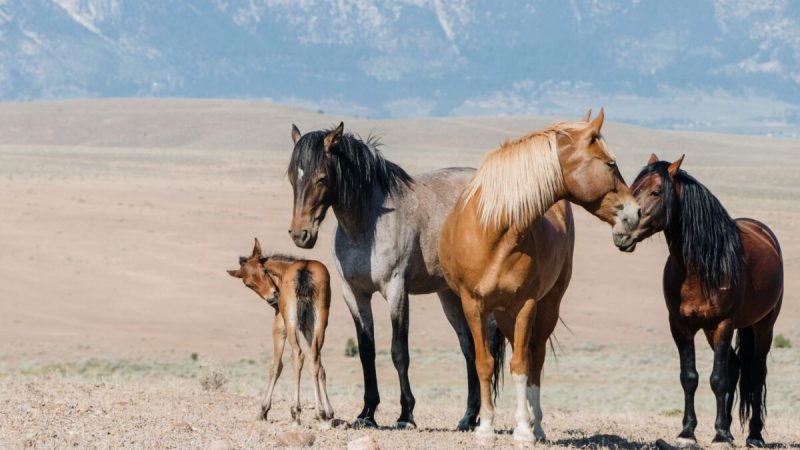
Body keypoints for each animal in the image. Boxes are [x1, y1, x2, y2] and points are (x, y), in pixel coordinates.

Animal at [227, 238, 334, 426]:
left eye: (264, 271)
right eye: (248, 284)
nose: (273, 298)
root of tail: (304, 269)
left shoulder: (279, 327)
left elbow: (276, 366)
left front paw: (263, 410)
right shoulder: (307, 328)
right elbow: (319, 366)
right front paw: (328, 412)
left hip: (290, 323)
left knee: (297, 356)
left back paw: (296, 412)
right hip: (320, 320)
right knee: (312, 358)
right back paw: (320, 413)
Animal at [286, 122, 505, 430]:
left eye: (321, 178)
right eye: (292, 177)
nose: (300, 234)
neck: (365, 226)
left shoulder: (396, 291)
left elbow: (398, 352)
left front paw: (406, 414)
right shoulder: (354, 294)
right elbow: (367, 351)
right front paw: (367, 413)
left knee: (487, 346)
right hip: (449, 295)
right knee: (469, 348)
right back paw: (467, 418)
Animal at [439, 109, 641, 442]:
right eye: (610, 164)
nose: (635, 213)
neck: (495, 231)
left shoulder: (526, 305)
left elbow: (522, 364)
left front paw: (523, 428)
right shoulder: (473, 305)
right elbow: (484, 363)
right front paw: (486, 427)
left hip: (546, 308)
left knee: (536, 357)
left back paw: (538, 425)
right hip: (503, 314)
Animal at [629, 154, 783, 448]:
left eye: (656, 192)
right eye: (632, 190)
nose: (623, 232)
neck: (698, 268)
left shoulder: (723, 324)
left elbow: (718, 378)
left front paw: (719, 436)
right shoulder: (680, 325)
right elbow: (690, 377)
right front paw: (688, 432)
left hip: (762, 326)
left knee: (756, 374)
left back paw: (754, 435)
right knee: (735, 366)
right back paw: (730, 429)